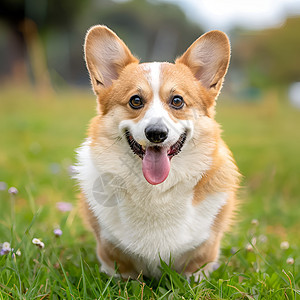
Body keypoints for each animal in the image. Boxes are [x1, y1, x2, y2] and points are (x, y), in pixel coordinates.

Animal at [76, 25, 240, 278]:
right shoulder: (112, 255)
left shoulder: (203, 255)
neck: (155, 192)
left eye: (177, 101)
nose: (156, 133)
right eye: (135, 100)